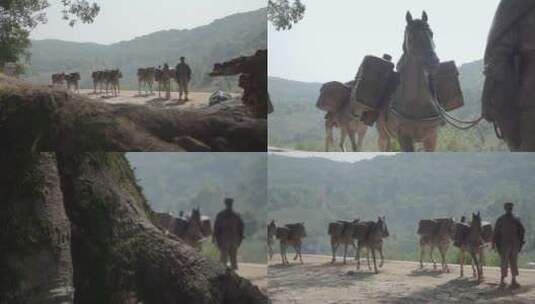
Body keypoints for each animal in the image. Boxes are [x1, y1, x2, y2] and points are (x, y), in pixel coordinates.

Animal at [374, 11, 442, 151]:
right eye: (411, 37)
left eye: (431, 33)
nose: (433, 62)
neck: (416, 102)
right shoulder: (404, 138)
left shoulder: (431, 138)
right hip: (383, 137)